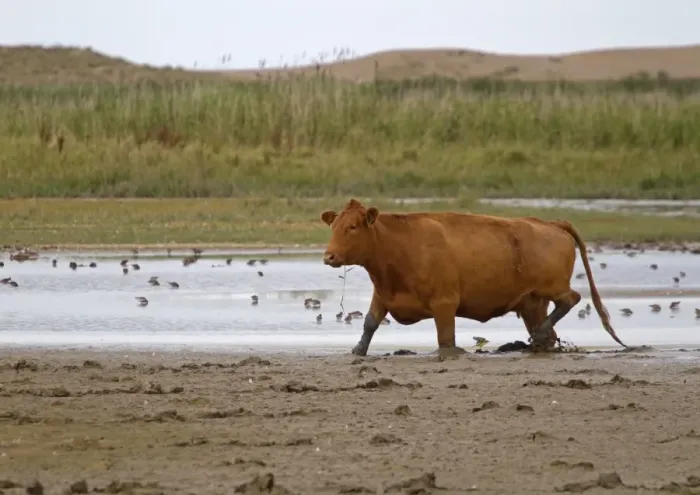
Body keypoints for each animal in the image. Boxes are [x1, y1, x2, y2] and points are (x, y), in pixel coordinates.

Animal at [320, 199, 627, 357]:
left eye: (353, 227)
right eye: (333, 226)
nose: (329, 256)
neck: (400, 244)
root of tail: (550, 223)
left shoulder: (444, 304)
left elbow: (446, 341)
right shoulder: (383, 295)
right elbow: (370, 323)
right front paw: (357, 350)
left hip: (552, 287)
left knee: (571, 299)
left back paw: (539, 334)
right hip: (532, 303)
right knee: (550, 330)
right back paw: (540, 340)